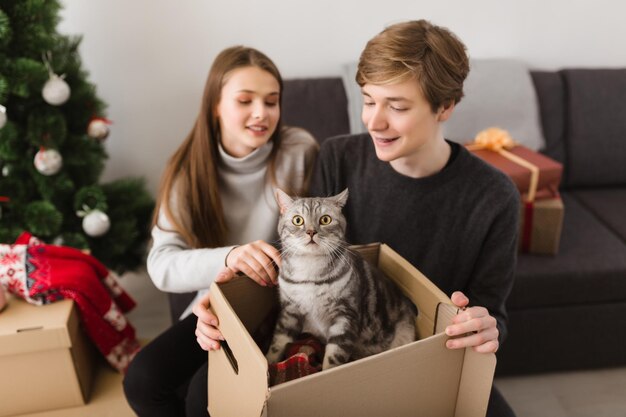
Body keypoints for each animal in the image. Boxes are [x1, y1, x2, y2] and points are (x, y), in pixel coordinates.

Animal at [264, 190, 414, 368]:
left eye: (325, 219)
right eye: (298, 220)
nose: (311, 232)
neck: (310, 270)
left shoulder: (345, 317)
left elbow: (333, 358)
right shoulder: (289, 311)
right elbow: (277, 343)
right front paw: (268, 364)